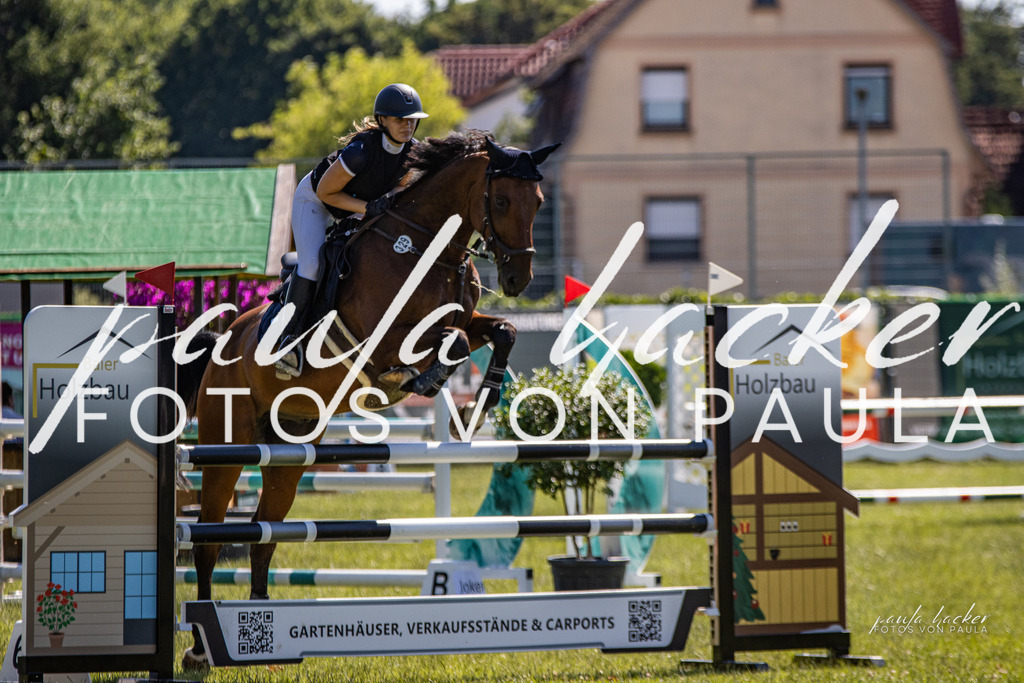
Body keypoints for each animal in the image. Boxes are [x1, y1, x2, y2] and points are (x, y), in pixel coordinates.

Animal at [177, 130, 557, 668]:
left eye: (538, 201)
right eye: (501, 200)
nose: (517, 280)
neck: (429, 249)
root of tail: (221, 342)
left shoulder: (466, 318)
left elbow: (499, 331)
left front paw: (474, 408)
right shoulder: (382, 340)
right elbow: (453, 343)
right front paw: (421, 381)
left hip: (289, 453)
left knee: (263, 534)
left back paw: (261, 639)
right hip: (225, 448)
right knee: (210, 539)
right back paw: (198, 649)